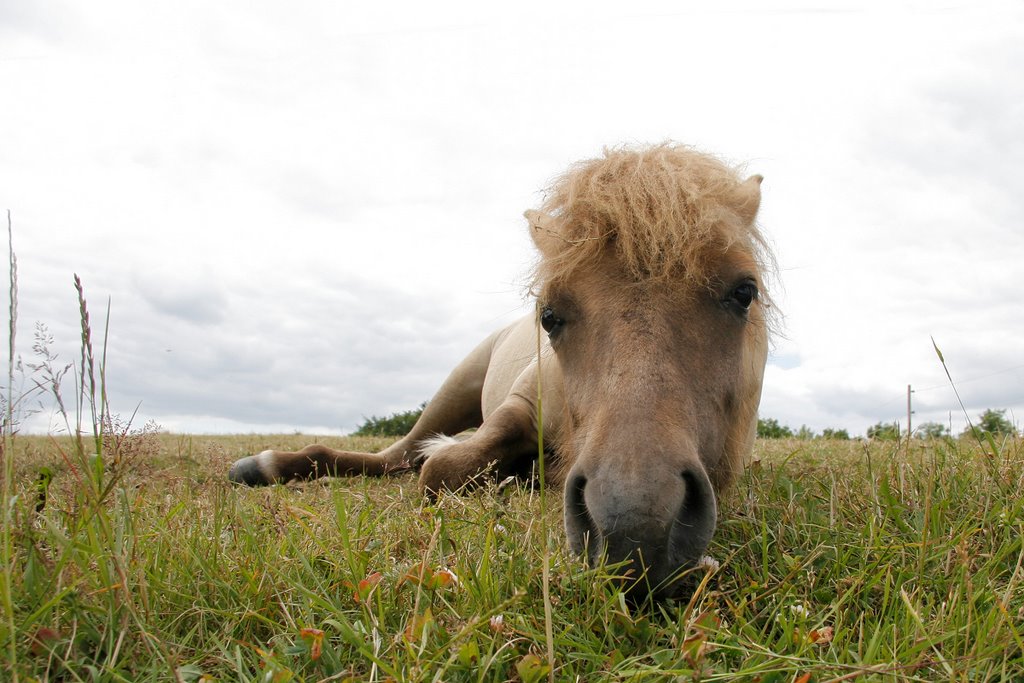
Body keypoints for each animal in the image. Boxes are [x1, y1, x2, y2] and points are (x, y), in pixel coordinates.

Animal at [232, 144, 770, 598]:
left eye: (745, 292)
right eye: (548, 315)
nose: (634, 529)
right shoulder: (518, 405)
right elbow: (439, 468)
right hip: (455, 389)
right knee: (398, 456)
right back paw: (270, 466)